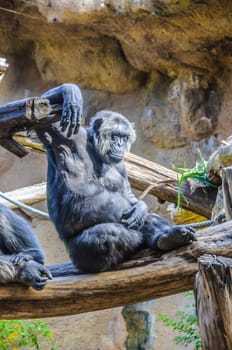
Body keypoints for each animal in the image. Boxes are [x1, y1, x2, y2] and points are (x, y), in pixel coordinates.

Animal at [36, 83, 196, 272]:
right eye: (114, 135)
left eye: (124, 137)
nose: (120, 144)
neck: (96, 148)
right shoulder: (71, 137)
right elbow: (44, 121)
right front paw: (71, 95)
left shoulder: (122, 167)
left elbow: (127, 194)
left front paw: (140, 207)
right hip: (79, 256)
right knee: (108, 233)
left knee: (145, 218)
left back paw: (170, 237)